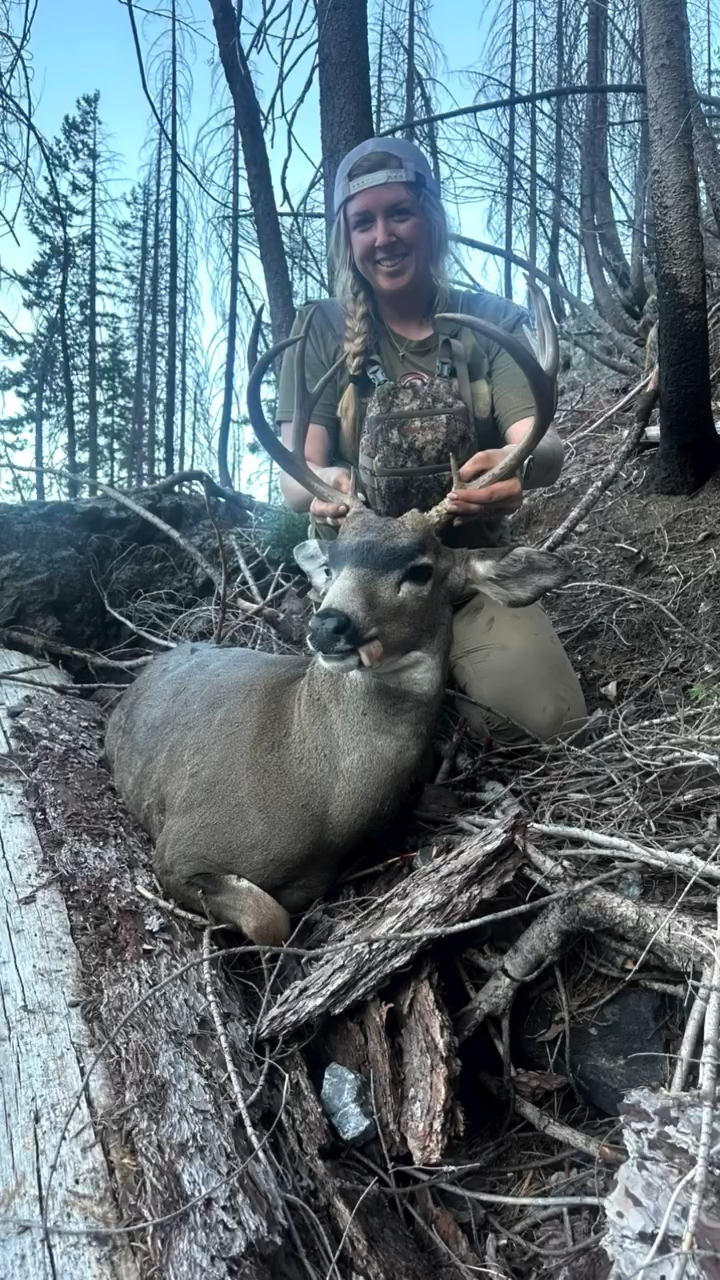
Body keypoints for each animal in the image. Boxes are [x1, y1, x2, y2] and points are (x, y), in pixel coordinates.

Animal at [105, 283, 565, 947]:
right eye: (337, 560)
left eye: (419, 570)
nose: (327, 625)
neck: (319, 799)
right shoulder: (180, 844)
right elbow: (270, 917)